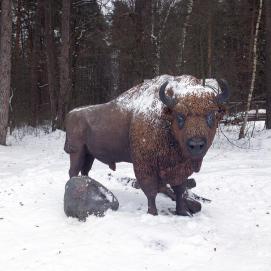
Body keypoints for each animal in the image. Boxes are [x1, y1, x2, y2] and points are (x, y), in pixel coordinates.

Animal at [65, 74, 231, 217]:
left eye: (211, 115)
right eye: (180, 117)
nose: (196, 144)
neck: (165, 117)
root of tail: (70, 113)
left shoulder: (180, 167)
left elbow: (180, 188)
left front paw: (183, 212)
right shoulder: (145, 165)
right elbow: (151, 190)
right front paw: (153, 213)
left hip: (89, 154)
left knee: (85, 171)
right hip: (77, 151)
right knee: (73, 171)